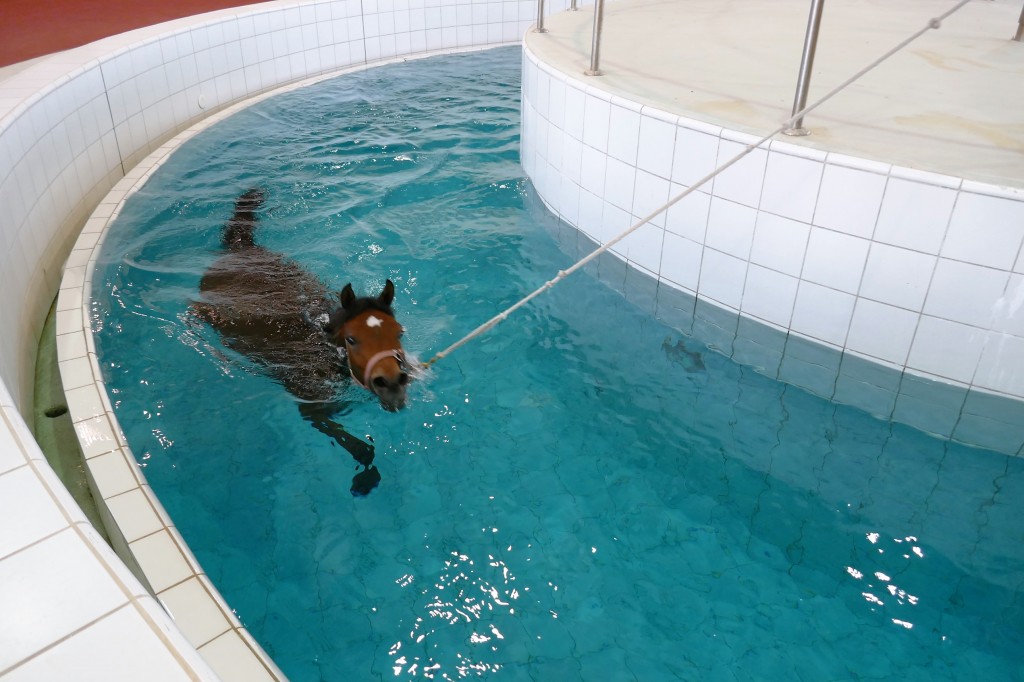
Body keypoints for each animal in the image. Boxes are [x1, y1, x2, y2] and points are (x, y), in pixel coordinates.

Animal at [193, 188, 409, 491]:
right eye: (352, 339)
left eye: (399, 332)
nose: (392, 383)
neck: (320, 348)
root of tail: (240, 248)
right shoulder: (311, 409)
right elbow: (360, 449)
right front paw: (365, 476)